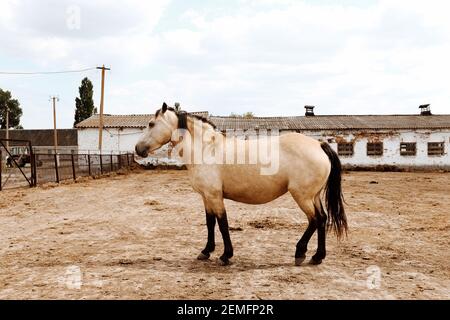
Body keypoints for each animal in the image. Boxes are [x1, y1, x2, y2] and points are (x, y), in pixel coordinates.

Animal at [134, 102, 348, 264]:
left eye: (151, 123)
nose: (138, 149)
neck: (206, 150)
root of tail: (318, 144)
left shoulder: (215, 196)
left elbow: (222, 223)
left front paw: (225, 255)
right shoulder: (206, 197)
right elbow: (210, 223)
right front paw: (206, 251)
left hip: (302, 196)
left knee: (315, 219)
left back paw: (300, 253)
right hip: (313, 196)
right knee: (323, 218)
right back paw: (317, 257)